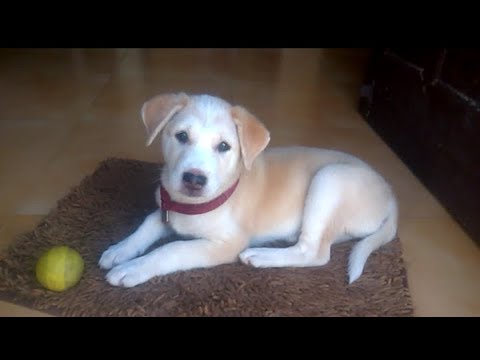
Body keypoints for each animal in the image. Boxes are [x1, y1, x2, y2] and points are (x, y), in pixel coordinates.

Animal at [98, 92, 398, 286]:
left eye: (224, 146)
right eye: (181, 136)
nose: (194, 179)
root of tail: (391, 196)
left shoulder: (226, 244)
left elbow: (172, 249)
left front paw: (134, 268)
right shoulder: (167, 211)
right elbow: (147, 224)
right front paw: (120, 250)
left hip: (329, 179)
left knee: (315, 253)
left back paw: (262, 256)